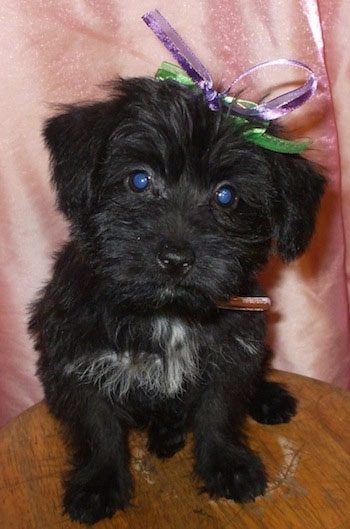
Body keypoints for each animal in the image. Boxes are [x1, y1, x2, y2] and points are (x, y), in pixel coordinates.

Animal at [28, 77, 326, 524]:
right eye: (139, 180)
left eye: (226, 196)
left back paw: (266, 398)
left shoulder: (231, 354)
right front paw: (99, 483)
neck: (167, 311)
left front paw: (227, 465)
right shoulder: (74, 360)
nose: (176, 258)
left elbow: (218, 412)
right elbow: (98, 427)